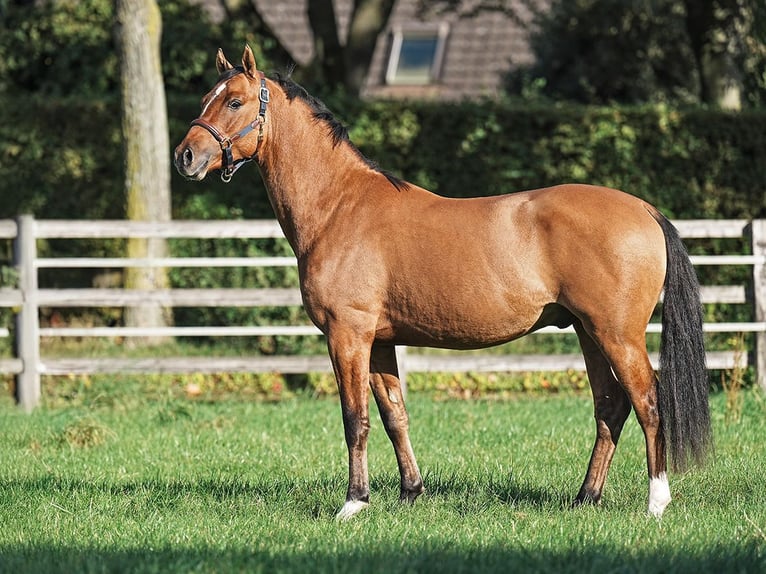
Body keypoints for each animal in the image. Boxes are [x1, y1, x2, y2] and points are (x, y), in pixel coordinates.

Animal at [176, 45, 712, 520]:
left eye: (235, 101)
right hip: (587, 332)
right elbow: (394, 416)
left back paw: (656, 502)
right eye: (205, 97)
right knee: (610, 407)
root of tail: (644, 210)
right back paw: (585, 499)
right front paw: (410, 492)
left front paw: (353, 503)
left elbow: (355, 419)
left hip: (616, 334)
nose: (185, 156)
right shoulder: (379, 341)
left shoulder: (348, 336)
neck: (339, 206)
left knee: (647, 402)